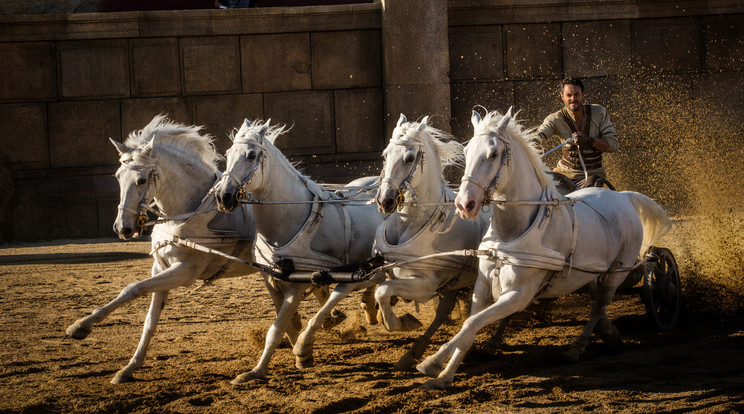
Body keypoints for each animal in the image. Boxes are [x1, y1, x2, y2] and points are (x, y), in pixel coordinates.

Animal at [67, 115, 264, 384]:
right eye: (117, 176)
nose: (122, 227)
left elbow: (132, 289)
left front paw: (82, 325)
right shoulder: (160, 267)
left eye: (141, 180)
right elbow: (150, 319)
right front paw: (129, 367)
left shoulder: (183, 272)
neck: (191, 213)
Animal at [211, 118, 380, 384]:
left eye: (251, 155)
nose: (223, 196)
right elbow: (285, 324)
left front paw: (259, 370)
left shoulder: (297, 282)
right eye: (228, 154)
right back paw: (369, 309)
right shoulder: (271, 278)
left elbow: (276, 328)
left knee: (356, 284)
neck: (290, 217)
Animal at [374, 115, 492, 370]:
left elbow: (383, 291)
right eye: (385, 154)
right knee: (443, 313)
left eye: (409, 158)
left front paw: (402, 322)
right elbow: (376, 288)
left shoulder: (425, 285)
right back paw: (412, 353)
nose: (384, 201)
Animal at [416, 109, 672, 388]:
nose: (464, 204)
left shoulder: (519, 294)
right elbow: (469, 327)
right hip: (590, 273)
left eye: (493, 154)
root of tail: (624, 196)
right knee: (597, 304)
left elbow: (472, 322)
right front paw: (444, 375)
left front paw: (431, 361)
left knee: (598, 307)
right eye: (468, 150)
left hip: (616, 274)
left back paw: (577, 348)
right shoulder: (482, 288)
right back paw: (607, 334)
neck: (511, 233)